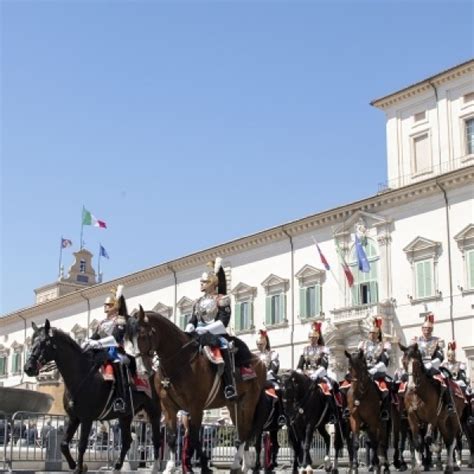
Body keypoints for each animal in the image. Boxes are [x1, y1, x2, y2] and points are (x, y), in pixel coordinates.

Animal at [24, 318, 163, 474]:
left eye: (44, 342)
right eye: (32, 342)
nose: (28, 367)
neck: (81, 374)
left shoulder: (87, 419)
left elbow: (81, 445)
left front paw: (79, 468)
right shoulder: (74, 418)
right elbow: (64, 444)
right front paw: (75, 466)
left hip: (154, 411)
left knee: (156, 440)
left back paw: (155, 468)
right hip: (125, 416)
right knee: (127, 441)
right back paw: (117, 467)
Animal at [130, 308, 266, 474]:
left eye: (143, 335)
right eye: (129, 337)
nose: (140, 370)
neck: (180, 360)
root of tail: (260, 362)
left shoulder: (196, 407)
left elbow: (194, 437)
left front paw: (199, 466)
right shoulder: (169, 407)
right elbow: (172, 437)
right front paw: (170, 467)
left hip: (249, 403)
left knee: (245, 430)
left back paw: (236, 465)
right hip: (234, 405)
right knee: (242, 431)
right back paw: (244, 465)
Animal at [400, 344, 466, 474]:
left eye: (416, 363)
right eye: (404, 362)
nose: (411, 386)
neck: (418, 394)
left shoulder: (433, 417)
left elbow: (429, 439)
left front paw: (434, 450)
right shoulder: (412, 418)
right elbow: (417, 441)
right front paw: (417, 466)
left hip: (453, 419)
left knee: (451, 441)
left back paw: (449, 466)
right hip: (443, 422)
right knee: (448, 439)